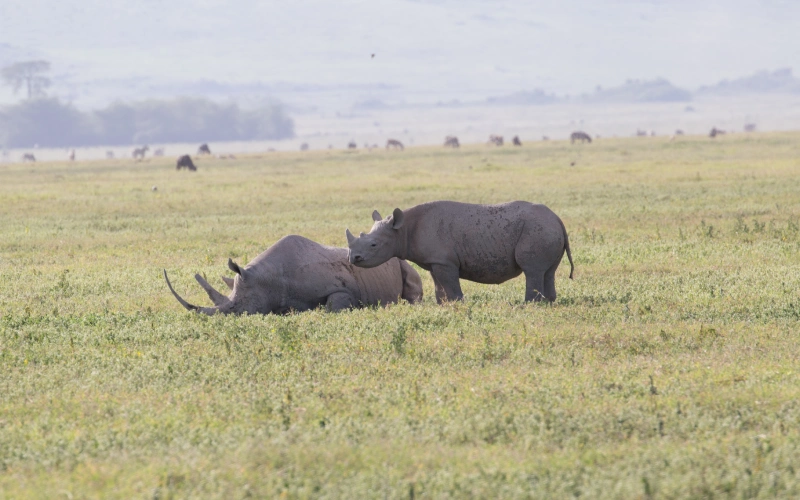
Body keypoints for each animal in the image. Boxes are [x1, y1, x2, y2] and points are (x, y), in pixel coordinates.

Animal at [346, 201, 573, 303]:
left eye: (374, 245)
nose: (353, 258)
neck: (402, 230)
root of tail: (558, 219)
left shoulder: (445, 262)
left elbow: (451, 285)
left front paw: (457, 305)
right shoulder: (434, 262)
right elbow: (439, 286)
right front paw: (442, 305)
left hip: (537, 230)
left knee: (532, 270)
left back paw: (528, 305)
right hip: (547, 229)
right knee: (548, 272)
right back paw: (548, 303)